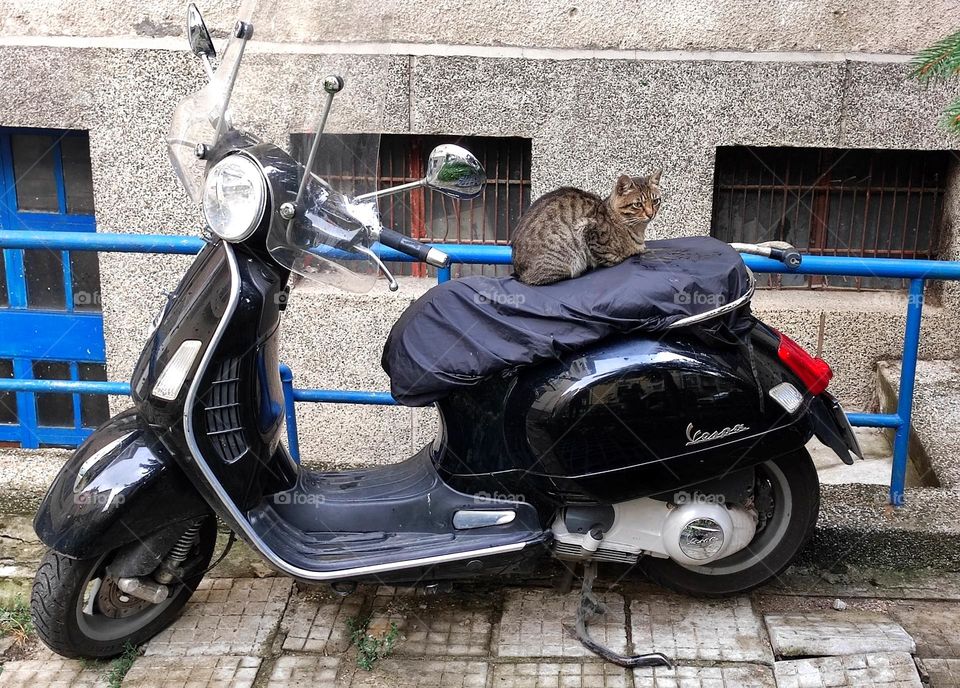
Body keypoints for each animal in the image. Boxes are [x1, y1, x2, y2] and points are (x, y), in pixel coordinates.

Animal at [512, 171, 664, 284]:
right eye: (638, 204)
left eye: (655, 201)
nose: (651, 214)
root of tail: (518, 271)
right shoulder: (588, 230)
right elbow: (612, 258)